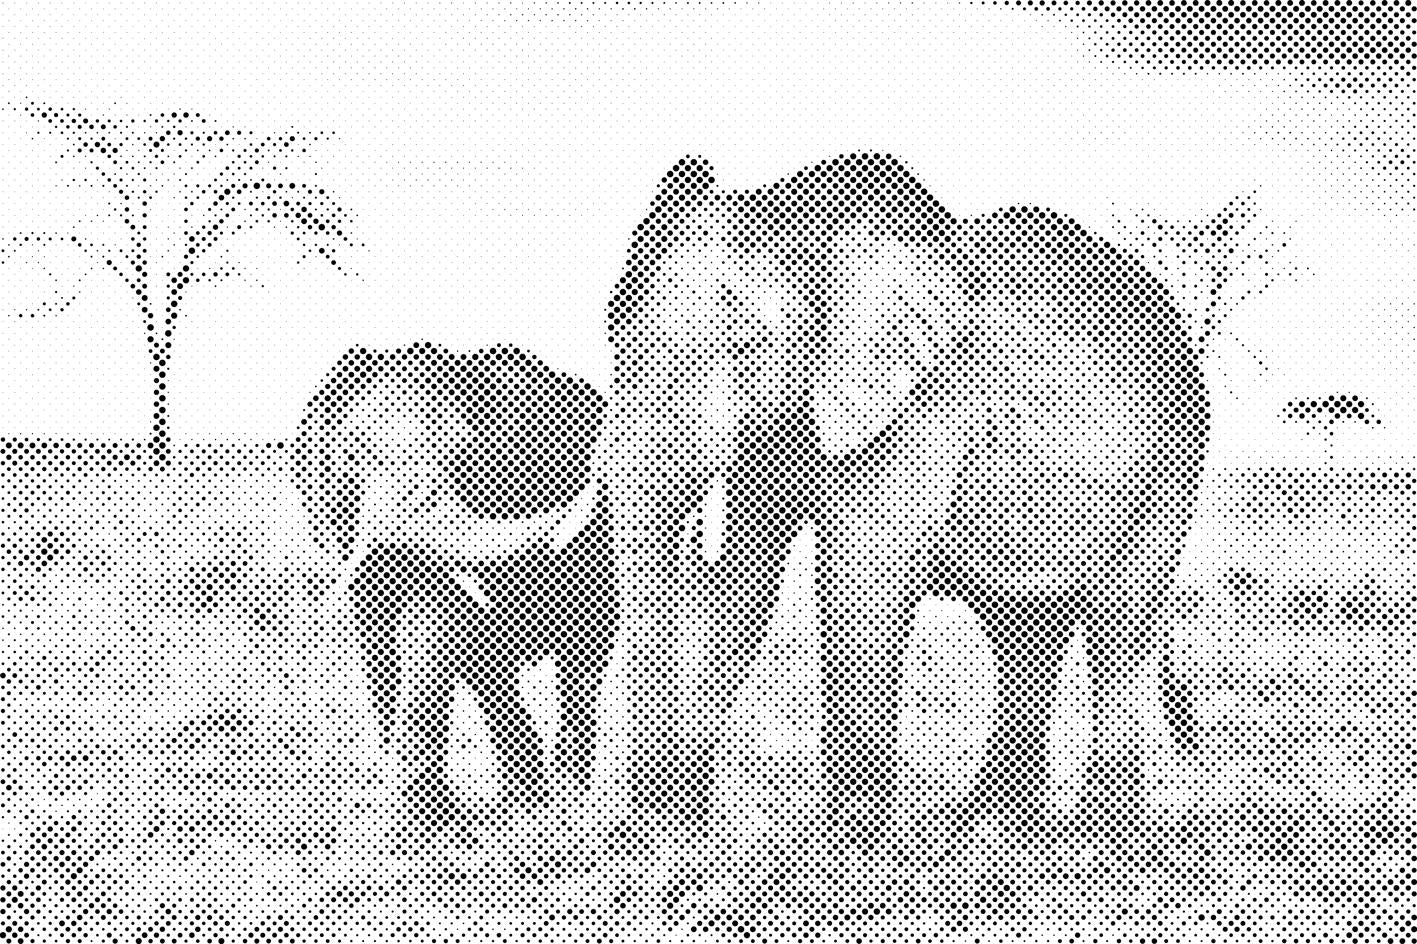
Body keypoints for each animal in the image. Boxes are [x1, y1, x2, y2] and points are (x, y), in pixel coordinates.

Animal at [292, 343, 617, 830]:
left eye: (462, 453)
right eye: (352, 458)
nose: (379, 556)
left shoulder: (588, 637)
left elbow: (576, 710)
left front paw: (562, 799)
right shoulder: (447, 629)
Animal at [597, 153, 1209, 856]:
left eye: (745, 346)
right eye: (612, 329)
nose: (643, 830)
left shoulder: (918, 420)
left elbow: (857, 602)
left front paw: (856, 853)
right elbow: (747, 588)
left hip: (1158, 483)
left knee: (1120, 632)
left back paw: (1106, 835)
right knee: (1026, 638)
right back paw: (1003, 824)